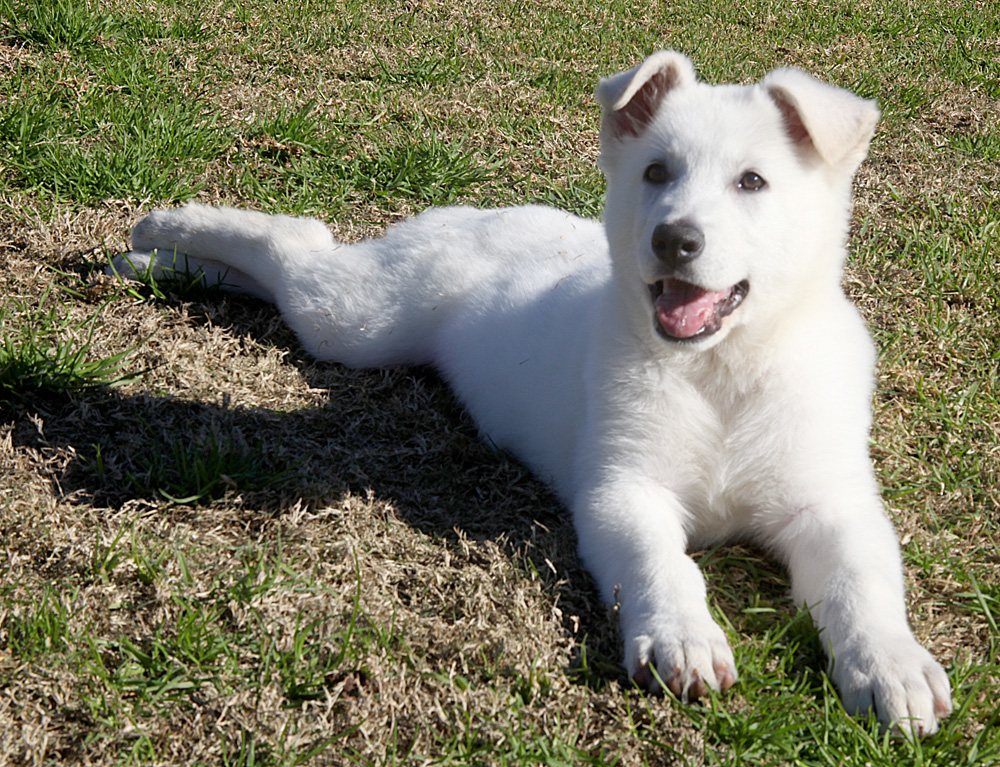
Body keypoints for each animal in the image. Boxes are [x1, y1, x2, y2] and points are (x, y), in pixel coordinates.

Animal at [115, 51, 952, 736]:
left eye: (753, 181)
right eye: (656, 173)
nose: (673, 240)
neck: (721, 374)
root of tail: (479, 211)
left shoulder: (831, 502)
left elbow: (861, 581)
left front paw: (891, 664)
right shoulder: (621, 489)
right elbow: (662, 562)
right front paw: (682, 633)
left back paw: (163, 264)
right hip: (356, 323)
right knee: (298, 243)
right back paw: (167, 226)